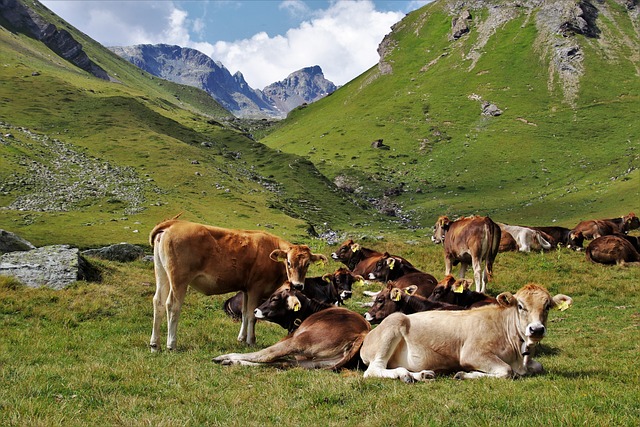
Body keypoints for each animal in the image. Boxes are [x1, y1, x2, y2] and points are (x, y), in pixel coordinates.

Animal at [147, 221, 322, 352]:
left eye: (307, 264)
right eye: (289, 262)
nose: (298, 285)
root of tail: (174, 224)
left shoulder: (245, 289)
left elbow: (244, 314)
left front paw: (241, 339)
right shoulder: (256, 288)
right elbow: (252, 315)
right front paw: (251, 341)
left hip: (162, 273)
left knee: (158, 302)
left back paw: (155, 344)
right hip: (179, 279)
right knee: (172, 305)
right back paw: (171, 344)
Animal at [360, 284, 576, 382]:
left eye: (547, 306)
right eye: (520, 306)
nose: (536, 329)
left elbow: (538, 366)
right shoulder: (472, 353)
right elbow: (507, 371)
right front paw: (464, 374)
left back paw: (422, 375)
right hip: (394, 323)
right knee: (374, 370)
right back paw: (404, 374)